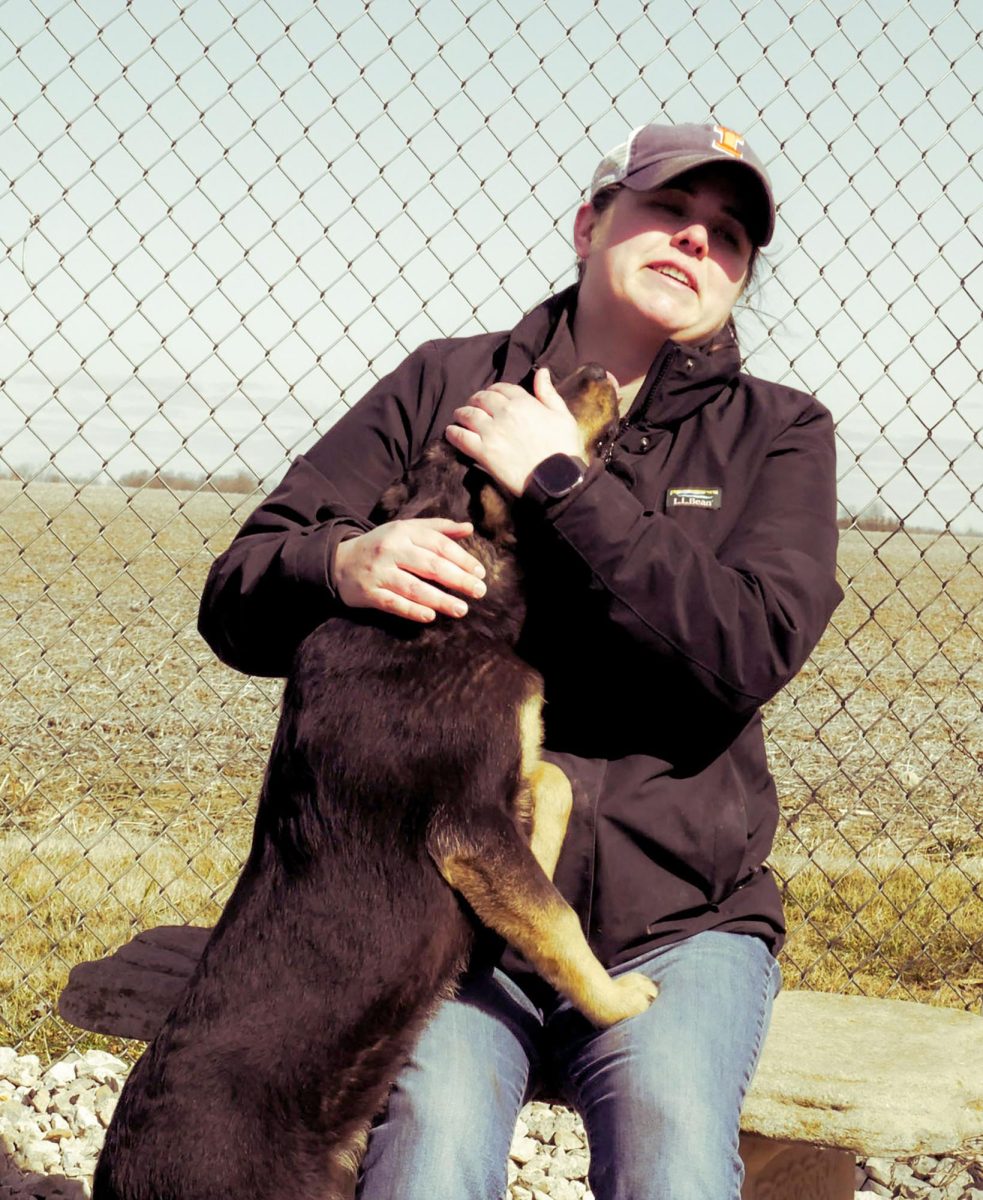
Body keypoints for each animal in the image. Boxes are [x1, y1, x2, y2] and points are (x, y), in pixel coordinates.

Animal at [92, 364, 657, 1200]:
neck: (444, 610)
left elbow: (552, 783)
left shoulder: (494, 796)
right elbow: (554, 916)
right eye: (536, 394)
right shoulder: (468, 828)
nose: (596, 370)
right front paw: (615, 1001)